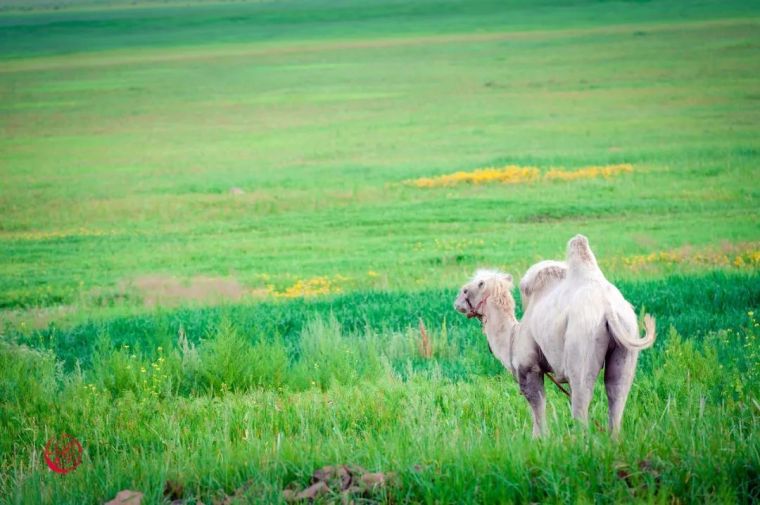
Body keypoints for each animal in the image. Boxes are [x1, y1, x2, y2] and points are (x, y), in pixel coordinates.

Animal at [454, 234, 656, 436]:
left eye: (466, 290)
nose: (456, 303)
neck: (513, 337)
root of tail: (608, 307)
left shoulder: (528, 366)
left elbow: (537, 404)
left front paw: (540, 438)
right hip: (627, 333)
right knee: (616, 390)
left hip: (582, 337)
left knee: (582, 395)